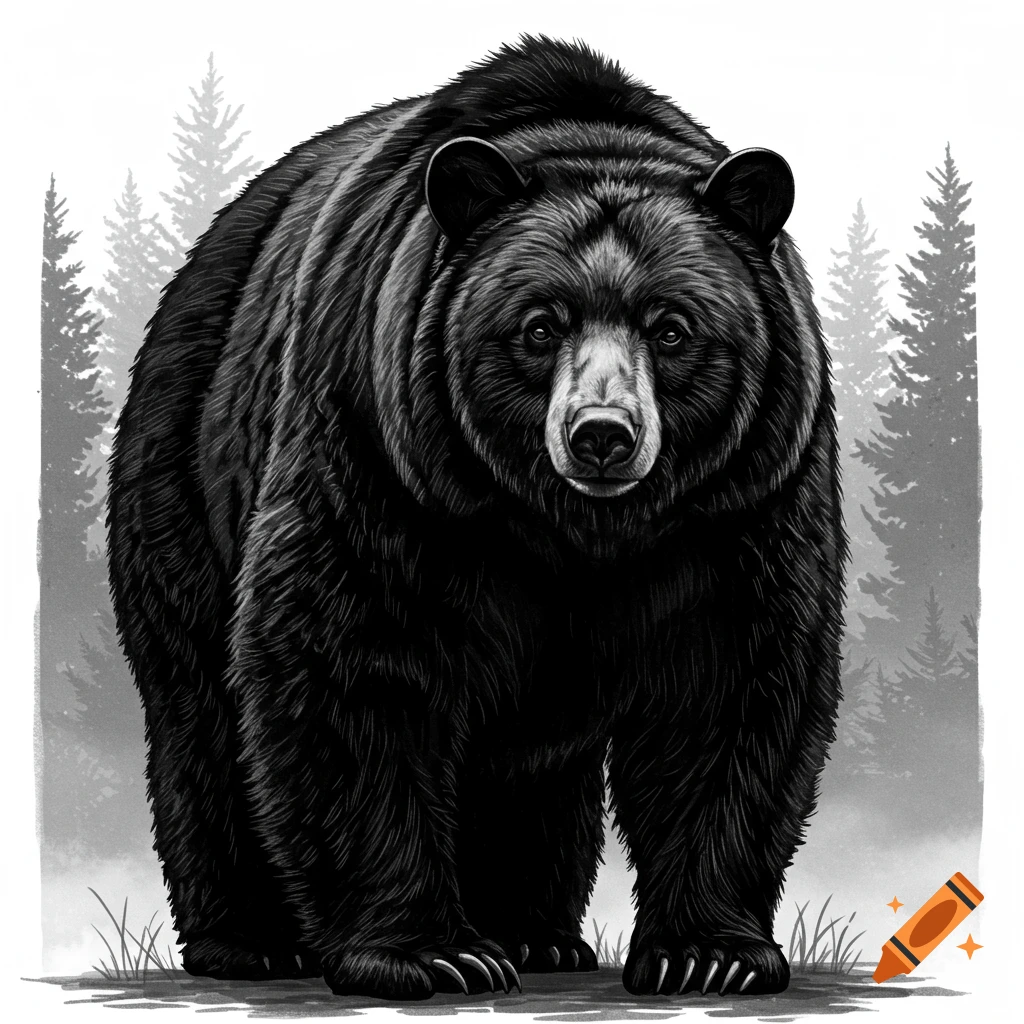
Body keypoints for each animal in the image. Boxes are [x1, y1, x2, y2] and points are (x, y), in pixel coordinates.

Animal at [107, 35, 846, 1001]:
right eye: (539, 325)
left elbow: (731, 684)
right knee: (202, 709)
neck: (571, 529)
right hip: (186, 469)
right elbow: (356, 664)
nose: (601, 434)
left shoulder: (744, 496)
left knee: (529, 765)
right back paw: (251, 942)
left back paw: (535, 934)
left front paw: (709, 951)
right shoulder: (386, 455)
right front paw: (429, 952)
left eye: (672, 326)